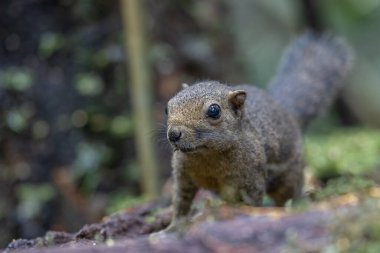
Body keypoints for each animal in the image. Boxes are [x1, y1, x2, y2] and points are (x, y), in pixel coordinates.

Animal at [165, 31, 352, 231]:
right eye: (167, 108)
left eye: (214, 111)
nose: (173, 134)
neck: (207, 157)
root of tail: (287, 113)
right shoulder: (182, 175)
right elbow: (181, 202)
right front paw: (174, 225)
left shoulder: (252, 178)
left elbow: (252, 201)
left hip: (289, 176)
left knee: (290, 193)